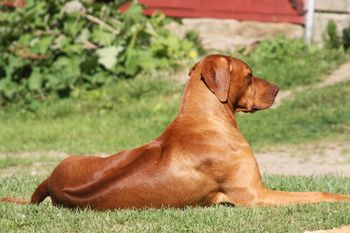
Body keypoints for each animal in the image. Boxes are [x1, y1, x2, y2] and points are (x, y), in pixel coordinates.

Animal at [0, 54, 350, 209]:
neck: (204, 117)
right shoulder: (254, 195)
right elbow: (319, 194)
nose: (277, 89)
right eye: (250, 74)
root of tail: (50, 183)